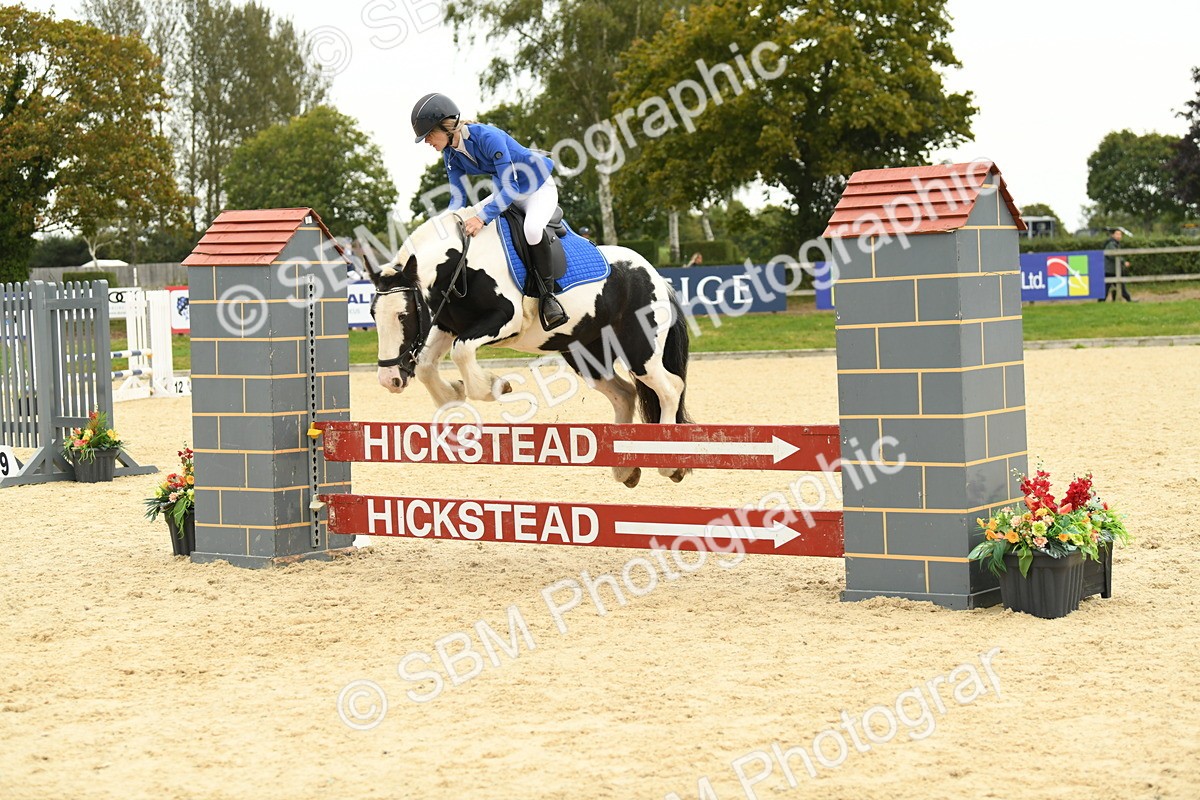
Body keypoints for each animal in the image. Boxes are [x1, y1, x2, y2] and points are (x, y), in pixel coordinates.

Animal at [363, 205, 693, 488]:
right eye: (372, 314)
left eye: (403, 314)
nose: (389, 380)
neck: (460, 265)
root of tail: (657, 276)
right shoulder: (446, 325)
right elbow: (427, 366)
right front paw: (453, 394)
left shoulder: (504, 319)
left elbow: (462, 351)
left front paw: (495, 387)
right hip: (586, 354)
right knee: (624, 394)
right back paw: (625, 469)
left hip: (639, 350)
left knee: (670, 388)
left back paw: (670, 464)